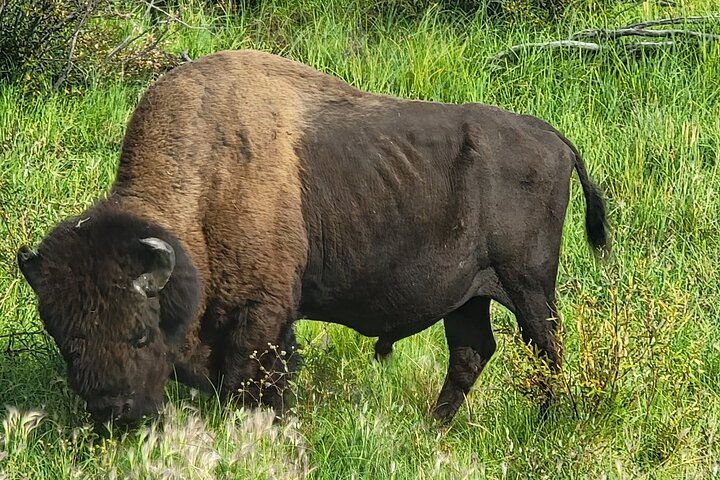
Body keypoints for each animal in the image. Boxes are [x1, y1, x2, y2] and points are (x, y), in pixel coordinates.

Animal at [17, 50, 607, 425]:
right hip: (467, 295)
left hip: (527, 286)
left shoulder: (262, 315)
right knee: (471, 353)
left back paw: (547, 420)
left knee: (546, 347)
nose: (112, 413)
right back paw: (433, 427)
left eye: (140, 333)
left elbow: (255, 379)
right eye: (65, 339)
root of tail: (553, 137)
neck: (205, 184)